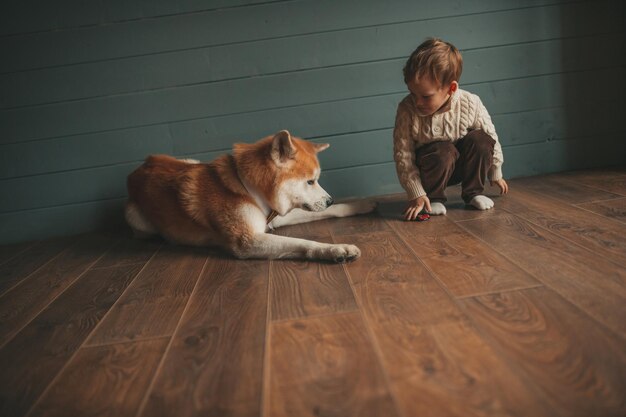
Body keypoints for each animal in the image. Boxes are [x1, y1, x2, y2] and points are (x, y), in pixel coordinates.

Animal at [124, 128, 372, 262]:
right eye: (310, 181)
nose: (330, 200)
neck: (247, 189)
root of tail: (138, 170)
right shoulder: (248, 241)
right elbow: (303, 242)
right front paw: (337, 249)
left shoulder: (273, 217)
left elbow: (330, 212)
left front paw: (360, 205)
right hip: (135, 217)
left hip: (189, 161)